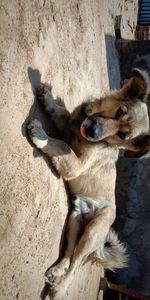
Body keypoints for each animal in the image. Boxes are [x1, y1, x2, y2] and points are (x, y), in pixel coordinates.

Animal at [27, 68, 149, 298]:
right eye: (119, 111)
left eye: (122, 135)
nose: (92, 131)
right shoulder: (69, 123)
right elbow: (61, 113)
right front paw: (48, 99)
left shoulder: (75, 164)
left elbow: (60, 144)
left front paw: (40, 135)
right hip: (75, 219)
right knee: (70, 255)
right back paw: (57, 271)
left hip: (92, 233)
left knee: (77, 263)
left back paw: (59, 289)